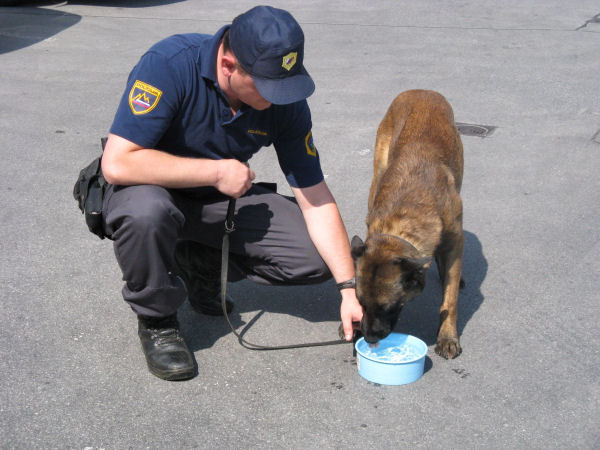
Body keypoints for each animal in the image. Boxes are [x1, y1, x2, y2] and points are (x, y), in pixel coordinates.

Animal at [352, 89, 464, 360]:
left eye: (388, 307)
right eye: (360, 302)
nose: (368, 338)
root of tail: (422, 91)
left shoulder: (455, 242)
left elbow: (451, 299)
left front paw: (447, 336)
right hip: (377, 173)